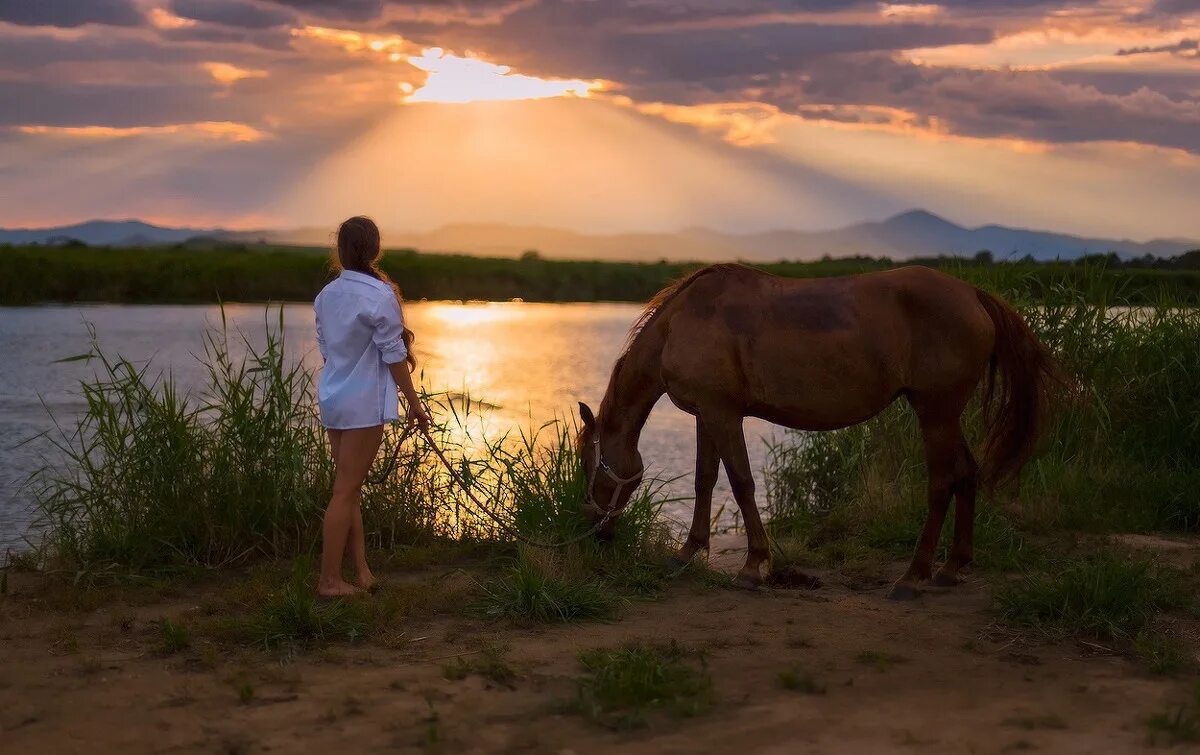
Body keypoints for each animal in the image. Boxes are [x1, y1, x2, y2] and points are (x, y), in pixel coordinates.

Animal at [580, 261, 1060, 597]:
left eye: (589, 464)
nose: (595, 531)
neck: (682, 322)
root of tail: (974, 295)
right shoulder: (706, 414)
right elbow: (705, 480)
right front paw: (686, 553)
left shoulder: (723, 413)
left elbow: (741, 482)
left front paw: (753, 567)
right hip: (944, 415)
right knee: (967, 473)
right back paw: (951, 568)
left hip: (935, 414)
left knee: (943, 482)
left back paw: (912, 577)